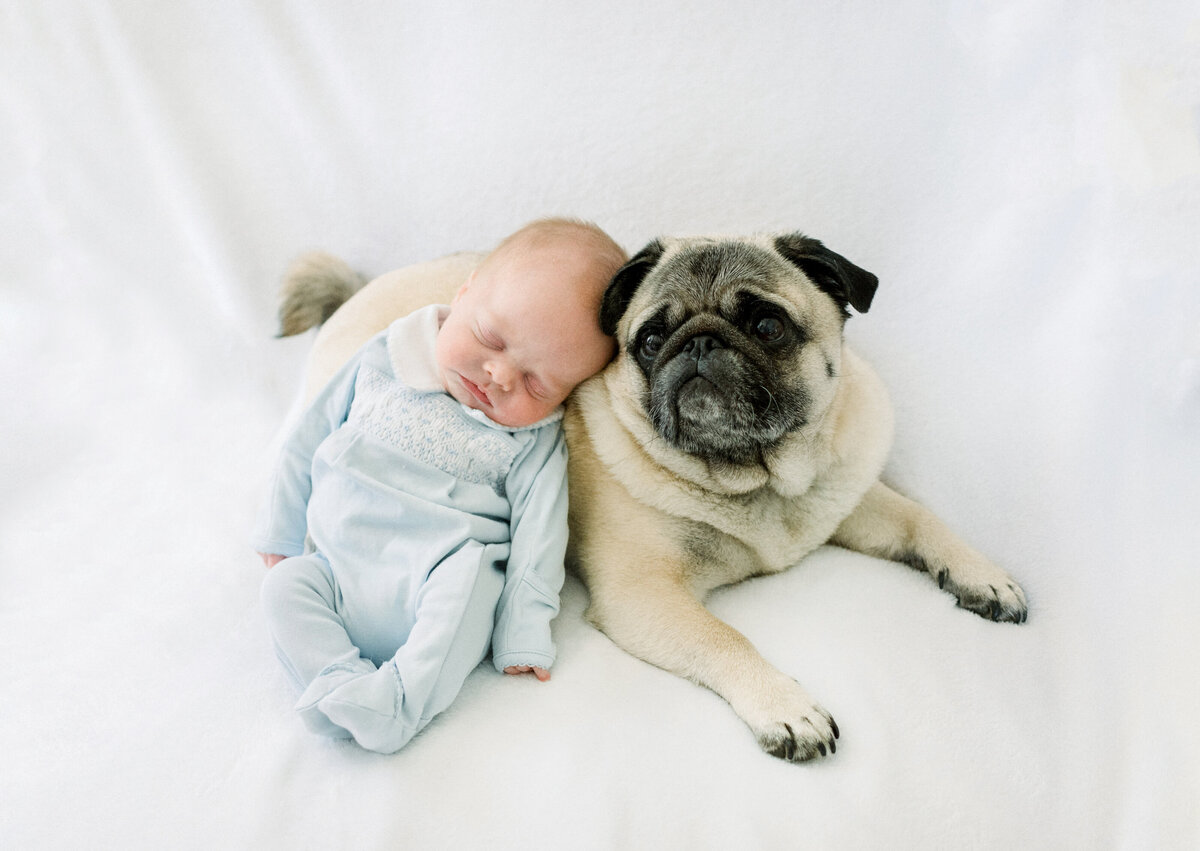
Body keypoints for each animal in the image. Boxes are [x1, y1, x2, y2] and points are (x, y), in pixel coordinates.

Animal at [285, 230, 1027, 763]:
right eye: (648, 339)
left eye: (767, 326)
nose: (696, 342)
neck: (758, 479)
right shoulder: (643, 591)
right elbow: (727, 638)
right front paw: (784, 705)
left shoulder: (848, 496)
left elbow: (922, 518)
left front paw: (982, 574)